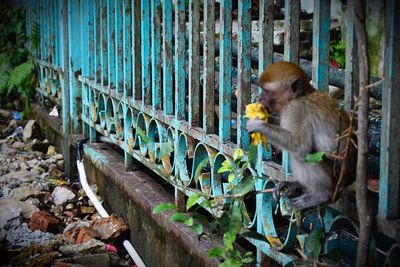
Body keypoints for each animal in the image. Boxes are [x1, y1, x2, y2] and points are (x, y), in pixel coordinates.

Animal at [247, 61, 356, 210]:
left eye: (266, 91)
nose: (259, 98)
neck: (301, 95)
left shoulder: (296, 110)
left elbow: (300, 146)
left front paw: (258, 125)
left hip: (336, 179)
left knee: (302, 156)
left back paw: (321, 196)